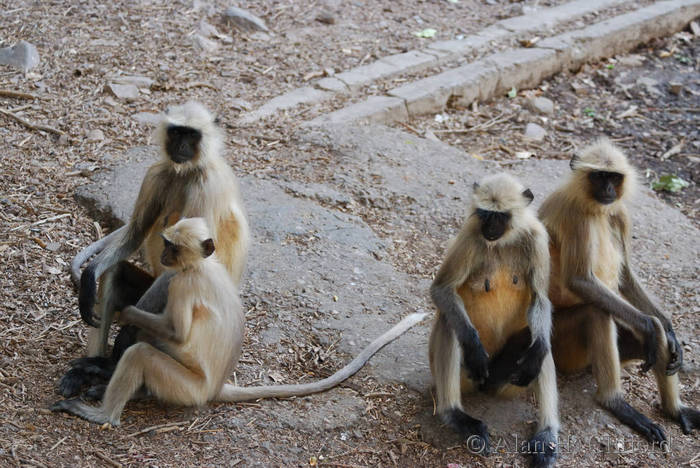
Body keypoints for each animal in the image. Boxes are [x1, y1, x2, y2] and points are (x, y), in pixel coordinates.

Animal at [53, 218, 427, 425]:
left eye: (174, 247)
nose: (165, 254)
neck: (203, 265)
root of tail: (217, 386)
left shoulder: (185, 282)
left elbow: (176, 331)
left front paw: (125, 318)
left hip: (187, 387)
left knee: (143, 352)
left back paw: (105, 409)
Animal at [59, 101, 250, 397]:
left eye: (192, 135)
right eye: (177, 132)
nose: (181, 146)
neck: (188, 171)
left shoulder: (206, 185)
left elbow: (190, 259)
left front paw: (125, 335)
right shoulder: (157, 173)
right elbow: (136, 232)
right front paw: (89, 278)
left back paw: (111, 368)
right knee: (115, 272)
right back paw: (87, 371)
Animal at [429, 174, 559, 467]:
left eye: (500, 217)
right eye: (485, 214)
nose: (489, 228)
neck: (502, 242)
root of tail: (485, 386)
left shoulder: (537, 238)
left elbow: (540, 299)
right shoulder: (469, 234)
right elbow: (441, 290)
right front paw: (475, 347)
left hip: (506, 381)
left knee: (539, 346)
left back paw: (546, 436)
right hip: (468, 378)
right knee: (449, 323)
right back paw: (455, 414)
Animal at [538, 138, 700, 443]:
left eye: (613, 178)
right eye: (599, 176)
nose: (607, 190)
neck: (593, 207)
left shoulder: (620, 213)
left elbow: (624, 276)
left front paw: (668, 328)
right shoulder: (575, 216)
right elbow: (579, 280)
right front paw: (653, 325)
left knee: (650, 341)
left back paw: (675, 410)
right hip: (562, 345)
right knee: (596, 313)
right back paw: (614, 401)